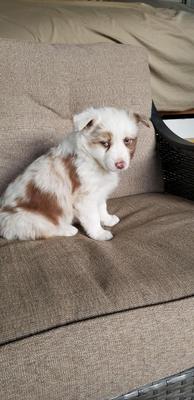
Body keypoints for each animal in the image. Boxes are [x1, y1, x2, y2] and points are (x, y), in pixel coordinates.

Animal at [0, 106, 149, 241]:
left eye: (127, 141)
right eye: (105, 143)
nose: (120, 164)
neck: (94, 161)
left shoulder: (100, 191)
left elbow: (102, 207)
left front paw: (107, 219)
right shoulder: (84, 199)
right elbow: (93, 217)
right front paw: (99, 234)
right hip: (27, 219)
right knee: (41, 230)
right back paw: (68, 229)